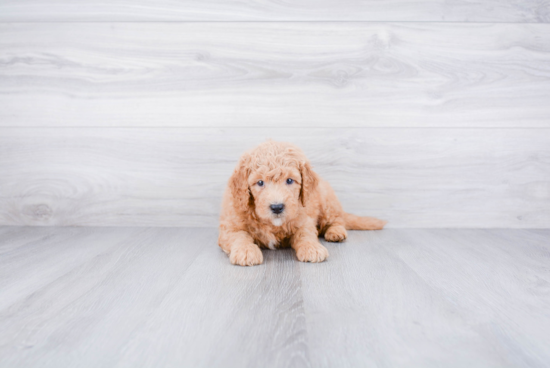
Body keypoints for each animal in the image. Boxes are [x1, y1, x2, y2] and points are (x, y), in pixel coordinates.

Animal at [220, 139, 388, 266]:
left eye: (289, 180)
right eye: (260, 182)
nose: (277, 207)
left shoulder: (303, 219)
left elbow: (305, 234)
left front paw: (312, 248)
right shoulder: (230, 226)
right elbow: (239, 236)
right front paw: (246, 251)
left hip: (327, 203)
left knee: (337, 220)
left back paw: (336, 232)